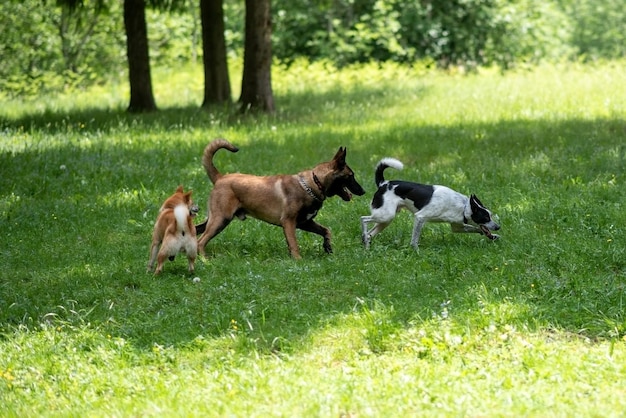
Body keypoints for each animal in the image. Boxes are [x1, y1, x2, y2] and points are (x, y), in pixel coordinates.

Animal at [196, 139, 366, 260]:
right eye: (351, 176)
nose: (363, 191)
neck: (312, 183)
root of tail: (220, 178)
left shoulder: (305, 223)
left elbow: (326, 230)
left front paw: (328, 247)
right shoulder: (289, 222)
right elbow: (294, 244)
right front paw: (298, 260)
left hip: (214, 219)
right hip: (221, 219)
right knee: (200, 241)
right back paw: (205, 260)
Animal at [358, 157, 500, 248]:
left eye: (490, 215)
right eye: (485, 217)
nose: (498, 227)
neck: (463, 206)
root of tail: (384, 183)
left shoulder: (457, 227)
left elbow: (477, 229)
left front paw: (492, 236)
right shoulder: (420, 217)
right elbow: (414, 240)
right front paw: (415, 250)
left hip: (385, 219)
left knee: (370, 234)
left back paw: (366, 244)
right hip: (385, 215)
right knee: (363, 219)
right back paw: (364, 237)